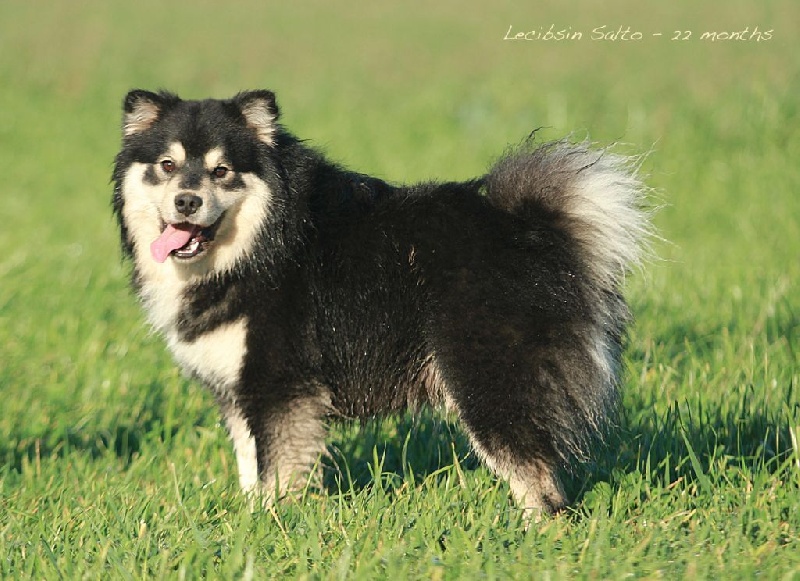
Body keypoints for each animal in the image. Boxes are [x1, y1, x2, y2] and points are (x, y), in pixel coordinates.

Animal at [112, 89, 650, 519]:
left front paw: (275, 524)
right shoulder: (241, 390)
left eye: (221, 171)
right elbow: (251, 464)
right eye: (167, 166)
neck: (260, 247)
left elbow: (278, 471)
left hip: (488, 383)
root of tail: (534, 229)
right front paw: (250, 520)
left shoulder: (282, 387)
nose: (186, 201)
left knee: (539, 481)